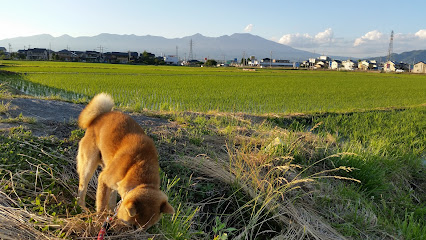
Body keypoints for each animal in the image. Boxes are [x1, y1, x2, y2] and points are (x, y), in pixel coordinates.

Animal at [75, 92, 174, 229]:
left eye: (146, 228)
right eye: (133, 226)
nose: (138, 233)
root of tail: (100, 115)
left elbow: (110, 200)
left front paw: (109, 214)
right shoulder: (103, 179)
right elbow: (101, 204)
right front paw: (100, 220)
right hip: (88, 165)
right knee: (82, 187)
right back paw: (82, 207)